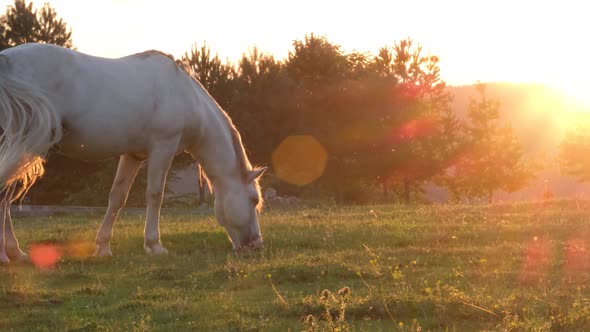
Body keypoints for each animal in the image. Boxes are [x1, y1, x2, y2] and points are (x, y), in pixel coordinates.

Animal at [0, 42, 268, 264]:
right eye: (254, 200)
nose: (257, 245)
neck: (185, 94)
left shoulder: (133, 155)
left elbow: (117, 197)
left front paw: (103, 247)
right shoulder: (163, 148)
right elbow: (154, 195)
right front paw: (154, 245)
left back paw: (16, 253)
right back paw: (6, 255)